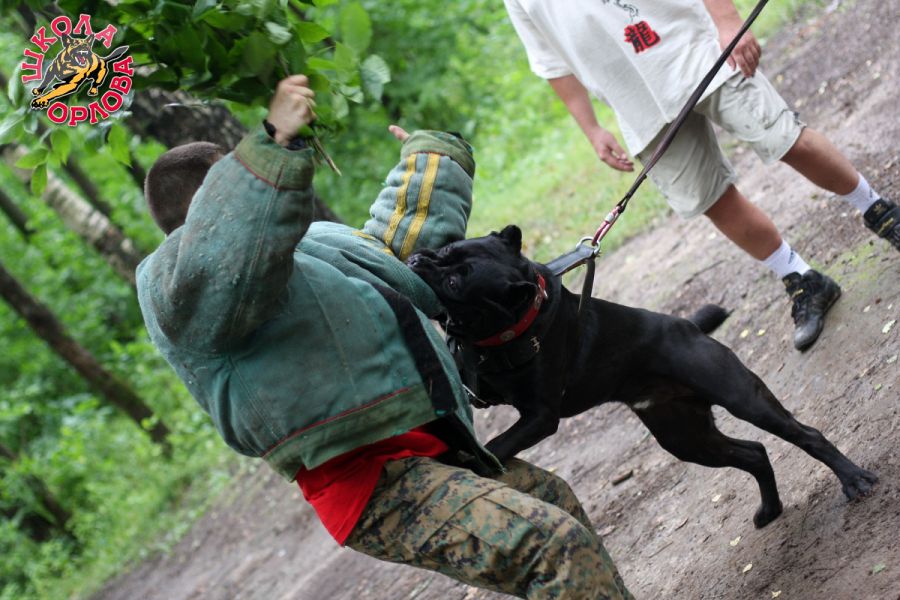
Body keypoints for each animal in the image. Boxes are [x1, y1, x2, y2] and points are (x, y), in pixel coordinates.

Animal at [407, 225, 877, 528]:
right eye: (445, 252)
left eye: (455, 282)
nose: (416, 258)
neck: (511, 325)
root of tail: (687, 326)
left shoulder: (540, 417)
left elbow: (500, 444)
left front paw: (471, 461)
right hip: (685, 437)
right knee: (754, 453)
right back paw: (770, 509)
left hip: (744, 399)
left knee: (805, 435)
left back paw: (854, 480)